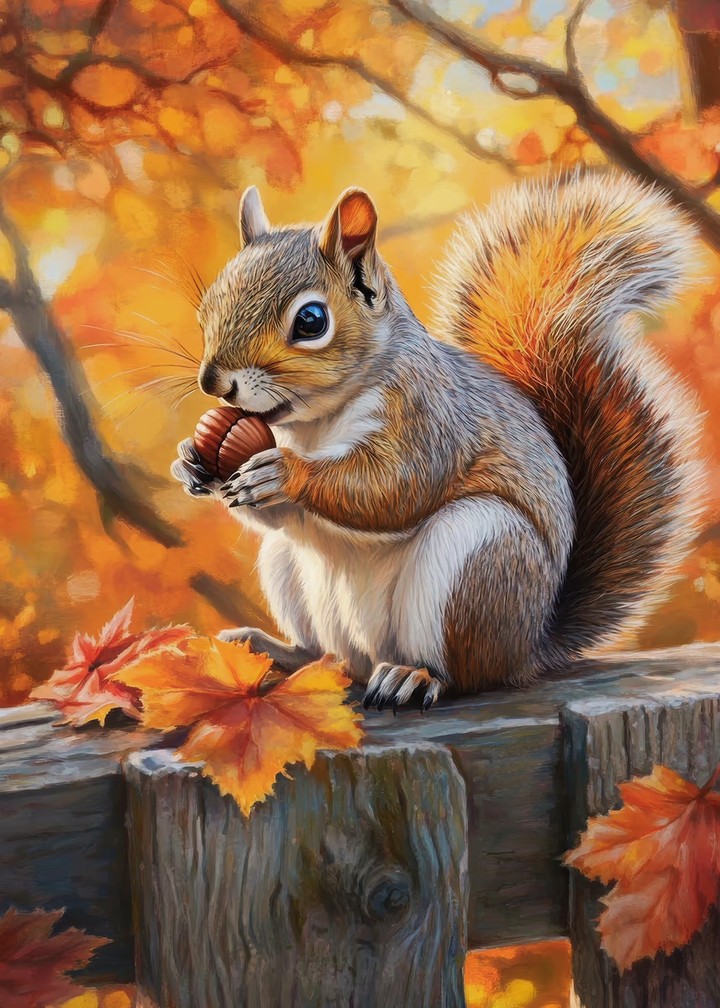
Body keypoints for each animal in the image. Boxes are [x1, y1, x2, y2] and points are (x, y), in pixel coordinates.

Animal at [172, 171, 704, 711]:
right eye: (208, 307)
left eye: (311, 321)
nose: (213, 383)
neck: (315, 424)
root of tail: (529, 648)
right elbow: (281, 516)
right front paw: (192, 464)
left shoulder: (428, 417)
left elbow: (394, 488)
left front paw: (283, 472)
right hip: (288, 567)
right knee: (326, 656)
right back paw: (272, 649)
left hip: (477, 557)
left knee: (462, 673)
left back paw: (413, 676)